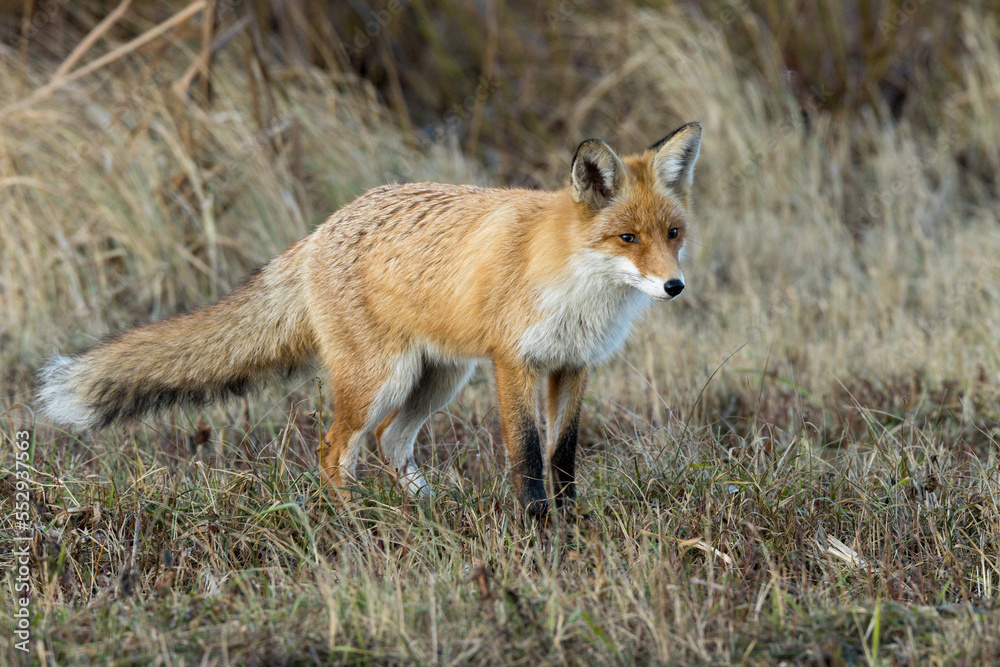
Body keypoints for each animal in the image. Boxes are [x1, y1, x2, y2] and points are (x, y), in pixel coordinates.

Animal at [37, 125, 696, 520]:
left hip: (437, 379)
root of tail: (319, 230)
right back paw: (356, 524)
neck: (578, 287)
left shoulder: (573, 365)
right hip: (381, 379)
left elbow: (563, 456)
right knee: (335, 451)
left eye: (672, 234)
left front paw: (569, 520)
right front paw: (536, 524)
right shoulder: (515, 363)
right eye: (627, 238)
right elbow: (527, 455)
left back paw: (425, 509)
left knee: (389, 440)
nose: (674, 286)